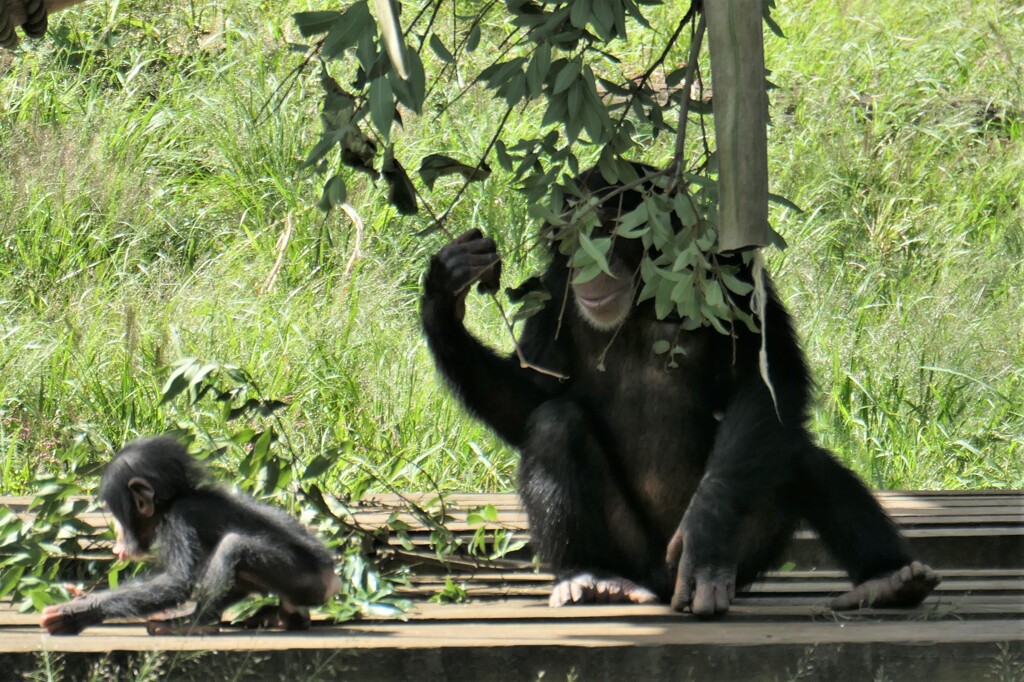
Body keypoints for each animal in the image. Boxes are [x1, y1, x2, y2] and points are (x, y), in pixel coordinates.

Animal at [39, 436, 337, 630]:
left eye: (116, 515)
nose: (117, 537)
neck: (171, 502)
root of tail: (333, 581)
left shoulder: (179, 519)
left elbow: (177, 581)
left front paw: (79, 610)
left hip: (302, 579)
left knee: (233, 546)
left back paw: (194, 620)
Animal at [419, 165, 937, 614]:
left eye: (609, 231)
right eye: (571, 238)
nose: (588, 264)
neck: (641, 301)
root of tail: (661, 583)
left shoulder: (734, 273)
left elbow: (765, 378)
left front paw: (705, 534)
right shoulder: (552, 295)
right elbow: (534, 396)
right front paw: (444, 296)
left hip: (743, 552)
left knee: (796, 453)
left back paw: (887, 579)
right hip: (631, 553)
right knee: (554, 426)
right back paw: (589, 575)